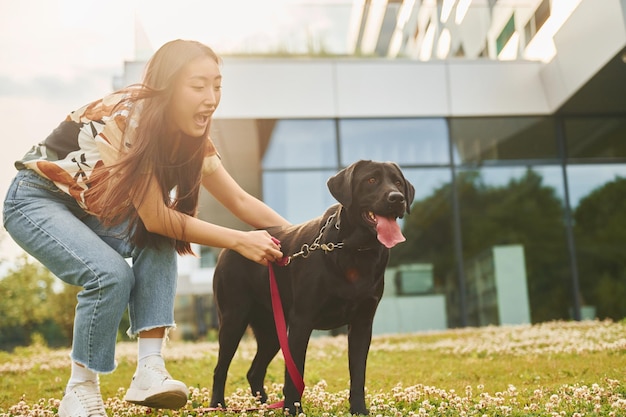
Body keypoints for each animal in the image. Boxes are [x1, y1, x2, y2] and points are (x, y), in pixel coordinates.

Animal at [210, 158, 414, 412]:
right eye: (371, 180)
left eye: (398, 182)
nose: (397, 198)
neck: (355, 249)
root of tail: (231, 247)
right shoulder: (301, 321)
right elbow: (294, 374)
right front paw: (292, 410)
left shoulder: (362, 323)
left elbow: (358, 374)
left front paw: (359, 410)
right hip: (233, 319)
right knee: (220, 369)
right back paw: (218, 405)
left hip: (272, 332)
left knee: (254, 372)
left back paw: (264, 406)